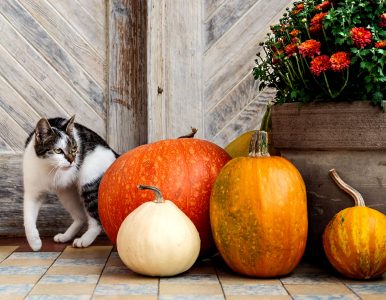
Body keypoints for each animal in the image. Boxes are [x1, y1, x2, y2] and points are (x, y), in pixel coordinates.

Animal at [23, 116, 118, 252]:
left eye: (74, 149)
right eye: (58, 150)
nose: (72, 161)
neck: (49, 168)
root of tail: (112, 151)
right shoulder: (33, 192)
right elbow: (28, 218)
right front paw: (34, 242)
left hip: (88, 183)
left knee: (96, 219)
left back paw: (85, 239)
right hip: (66, 192)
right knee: (81, 217)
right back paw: (65, 236)